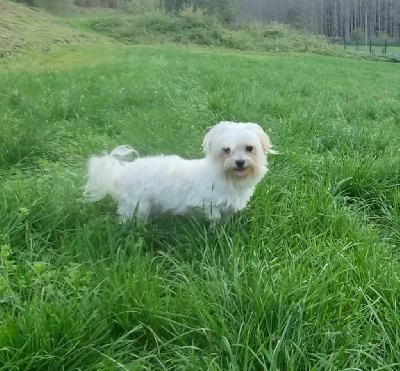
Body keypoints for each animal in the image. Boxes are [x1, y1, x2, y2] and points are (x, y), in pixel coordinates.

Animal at [84, 122, 276, 222]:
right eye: (226, 150)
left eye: (249, 148)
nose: (240, 162)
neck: (228, 179)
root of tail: (123, 171)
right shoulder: (209, 204)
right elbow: (214, 219)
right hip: (136, 203)